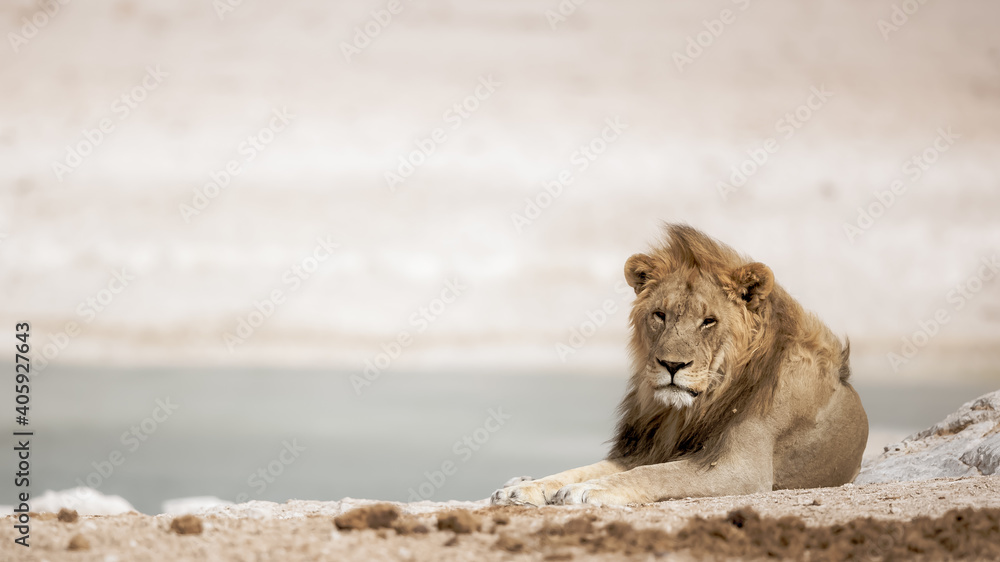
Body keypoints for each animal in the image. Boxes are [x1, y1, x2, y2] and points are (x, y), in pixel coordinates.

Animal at [492, 224, 868, 508]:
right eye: (660, 315)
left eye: (708, 321)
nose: (672, 364)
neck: (689, 410)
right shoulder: (646, 447)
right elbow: (581, 469)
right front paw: (523, 489)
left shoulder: (740, 469)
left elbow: (657, 474)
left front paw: (587, 490)